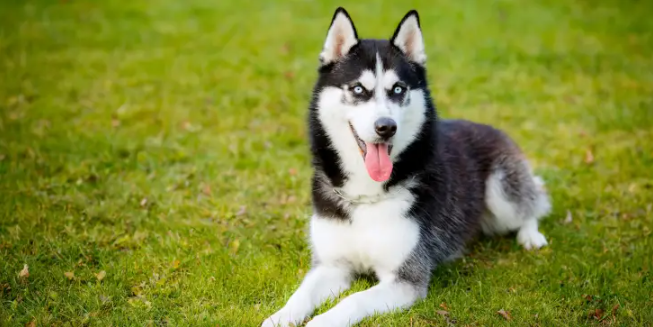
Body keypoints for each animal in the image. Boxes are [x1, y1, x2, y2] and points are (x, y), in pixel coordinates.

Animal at [262, 7, 548, 327]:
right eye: (358, 89)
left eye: (398, 89)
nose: (386, 127)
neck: (366, 196)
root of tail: (492, 128)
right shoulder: (331, 266)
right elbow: (299, 296)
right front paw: (278, 317)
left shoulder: (406, 278)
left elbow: (352, 301)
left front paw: (321, 322)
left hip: (501, 192)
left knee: (533, 204)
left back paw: (531, 235)